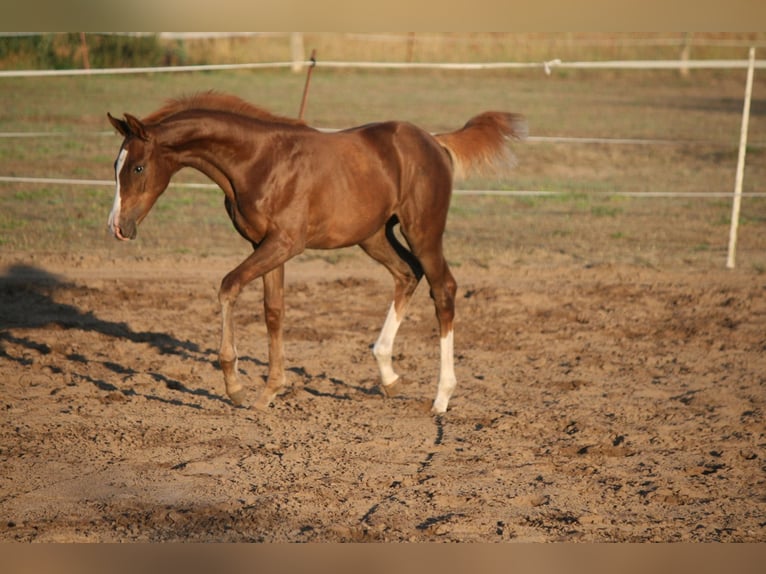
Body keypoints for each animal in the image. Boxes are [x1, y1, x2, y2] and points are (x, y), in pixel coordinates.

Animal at [107, 92, 526, 414]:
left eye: (138, 168)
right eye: (115, 166)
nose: (118, 227)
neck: (258, 161)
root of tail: (434, 141)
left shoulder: (284, 243)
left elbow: (228, 286)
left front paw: (235, 387)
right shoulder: (264, 245)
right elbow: (273, 311)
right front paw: (270, 392)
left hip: (423, 231)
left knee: (443, 289)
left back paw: (441, 398)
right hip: (373, 235)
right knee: (407, 273)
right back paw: (388, 374)